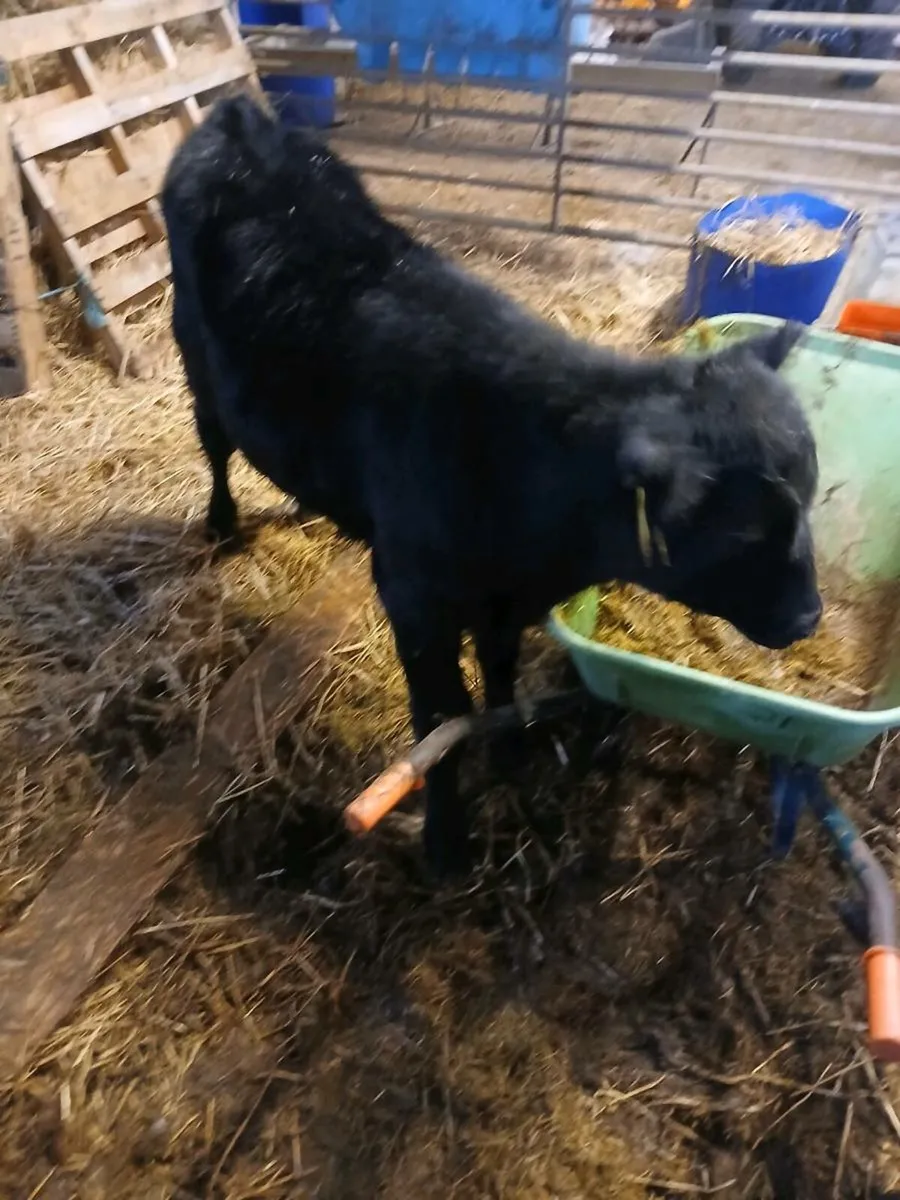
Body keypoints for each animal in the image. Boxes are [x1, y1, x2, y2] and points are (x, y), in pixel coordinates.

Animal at [161, 95, 821, 876]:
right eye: (744, 532)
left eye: (812, 495)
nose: (809, 616)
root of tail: (240, 117)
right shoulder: (414, 599)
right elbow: (441, 723)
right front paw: (447, 842)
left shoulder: (507, 602)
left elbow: (499, 680)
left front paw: (510, 754)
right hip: (196, 362)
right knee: (214, 445)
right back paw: (222, 525)